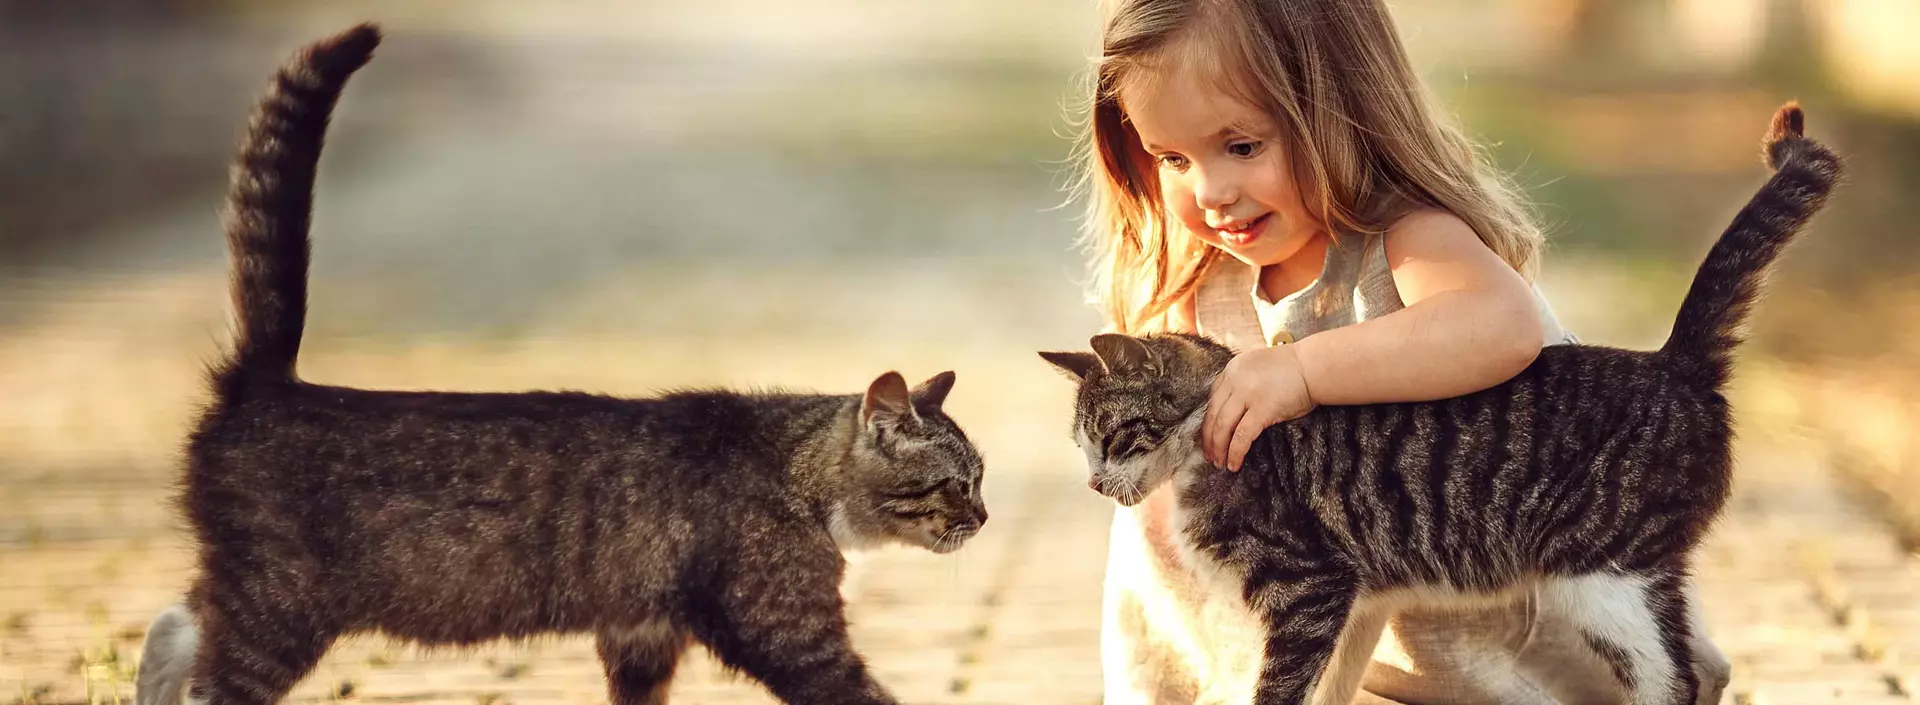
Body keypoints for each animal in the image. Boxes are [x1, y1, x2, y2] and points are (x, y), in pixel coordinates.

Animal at [131, 22, 990, 705]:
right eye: (957, 482)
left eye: (982, 479)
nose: (983, 517)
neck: (793, 469)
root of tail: (267, 381)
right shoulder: (789, 629)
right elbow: (864, 693)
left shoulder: (640, 633)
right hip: (280, 607)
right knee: (209, 678)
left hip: (244, 595)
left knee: (169, 632)